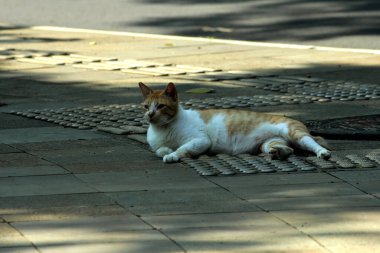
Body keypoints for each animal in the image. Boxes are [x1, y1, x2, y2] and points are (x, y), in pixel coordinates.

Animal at [138, 82, 332, 163]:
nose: (150, 115)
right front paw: (167, 151)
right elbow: (160, 150)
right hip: (268, 143)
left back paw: (323, 153)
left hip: (295, 134)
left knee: (314, 144)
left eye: (161, 106)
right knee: (287, 149)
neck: (164, 129)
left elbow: (182, 148)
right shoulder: (158, 146)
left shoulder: (201, 141)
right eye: (146, 106)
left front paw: (172, 155)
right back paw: (278, 153)